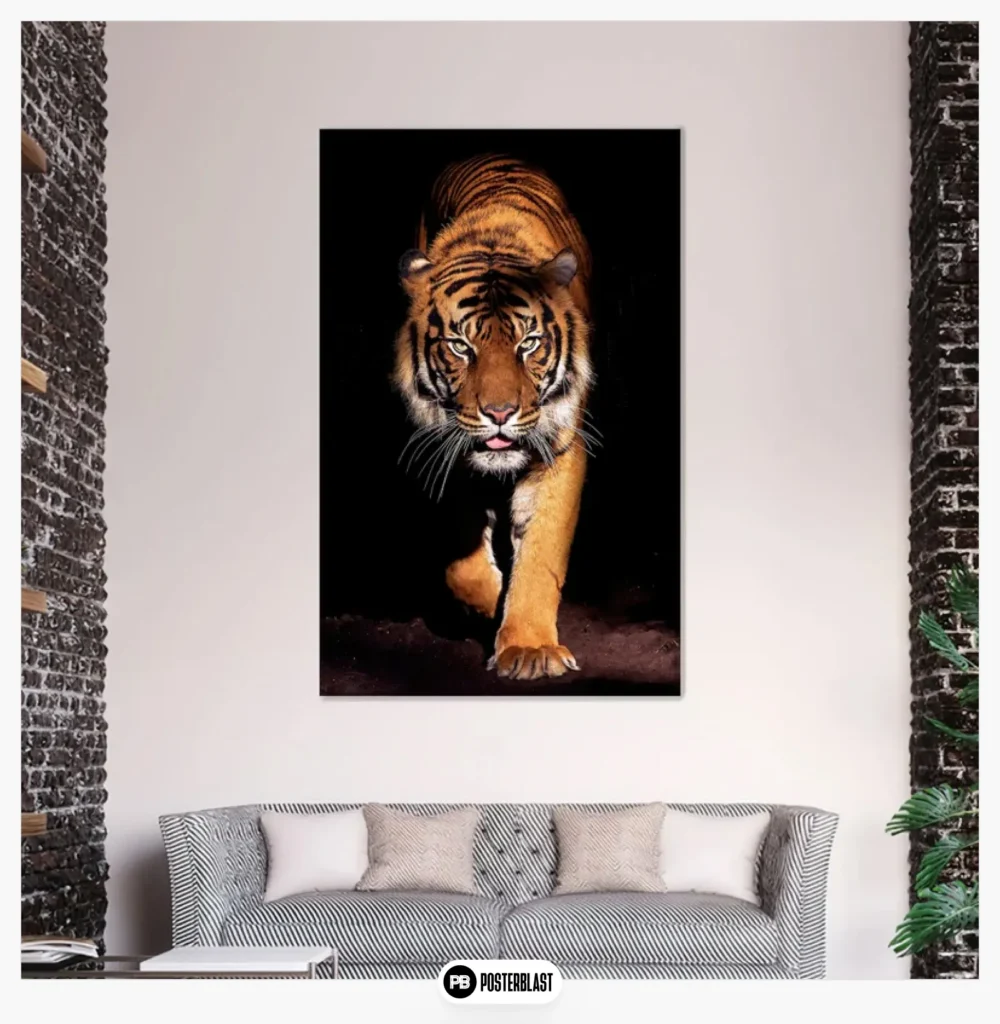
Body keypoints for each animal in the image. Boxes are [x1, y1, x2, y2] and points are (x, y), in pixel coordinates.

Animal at [394, 154, 594, 682]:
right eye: (461, 346)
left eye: (529, 343)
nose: (500, 413)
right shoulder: (445, 447)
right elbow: (460, 560)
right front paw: (487, 604)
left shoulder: (560, 448)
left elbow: (542, 554)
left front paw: (529, 649)